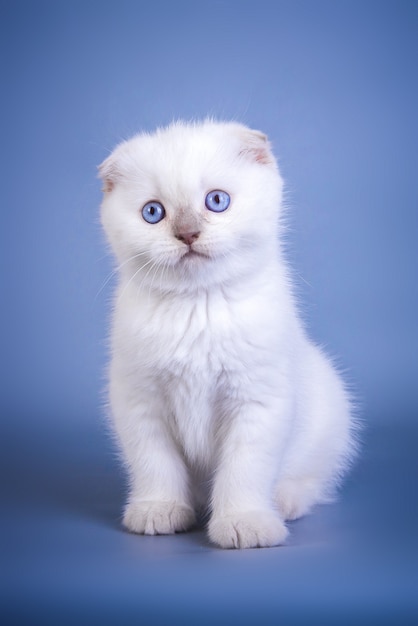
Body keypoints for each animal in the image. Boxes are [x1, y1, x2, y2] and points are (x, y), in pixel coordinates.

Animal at [99, 120, 356, 544]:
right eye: (153, 212)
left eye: (216, 201)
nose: (188, 233)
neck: (197, 306)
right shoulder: (140, 401)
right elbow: (155, 462)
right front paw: (159, 508)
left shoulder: (258, 400)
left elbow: (244, 468)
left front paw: (244, 522)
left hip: (331, 410)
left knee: (313, 480)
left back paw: (285, 501)